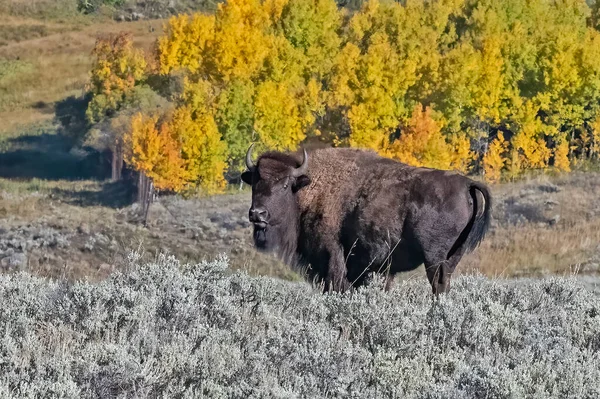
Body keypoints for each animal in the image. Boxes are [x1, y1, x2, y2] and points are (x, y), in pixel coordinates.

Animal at [241, 145, 490, 296]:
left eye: (284, 185)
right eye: (254, 183)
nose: (257, 214)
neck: (307, 190)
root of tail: (466, 184)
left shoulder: (332, 256)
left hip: (434, 259)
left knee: (438, 285)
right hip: (451, 257)